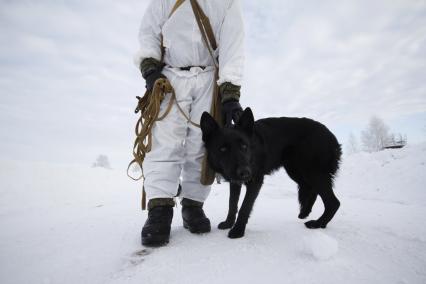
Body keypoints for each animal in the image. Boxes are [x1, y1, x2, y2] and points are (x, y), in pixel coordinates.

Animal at [201, 107, 342, 239]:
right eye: (223, 149)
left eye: (244, 146)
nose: (245, 173)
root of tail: (332, 136)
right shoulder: (235, 182)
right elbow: (232, 204)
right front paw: (228, 223)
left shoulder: (255, 181)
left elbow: (244, 207)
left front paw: (238, 231)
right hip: (296, 171)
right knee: (310, 189)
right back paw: (305, 213)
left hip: (312, 173)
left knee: (333, 202)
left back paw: (318, 223)